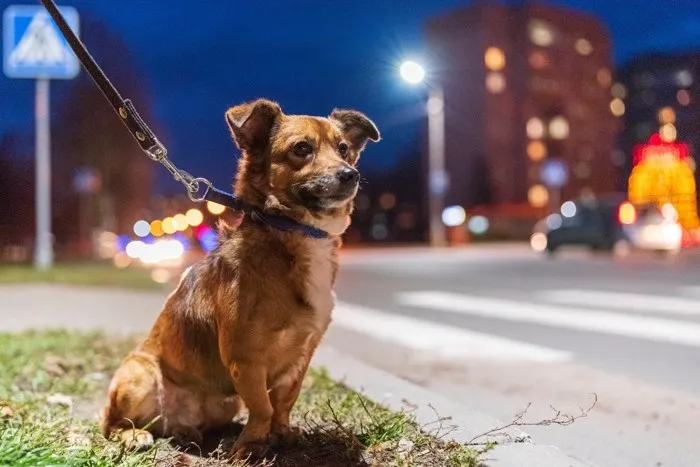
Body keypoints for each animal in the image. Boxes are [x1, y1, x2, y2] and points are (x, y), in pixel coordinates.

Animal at [101, 99, 380, 460]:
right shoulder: (245, 360)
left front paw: (282, 435)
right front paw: (250, 447)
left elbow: (283, 403)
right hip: (138, 376)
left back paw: (185, 431)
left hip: (225, 404)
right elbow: (262, 406)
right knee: (111, 423)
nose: (350, 174)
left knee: (182, 424)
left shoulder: (301, 359)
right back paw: (134, 435)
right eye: (301, 149)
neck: (293, 231)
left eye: (344, 149)